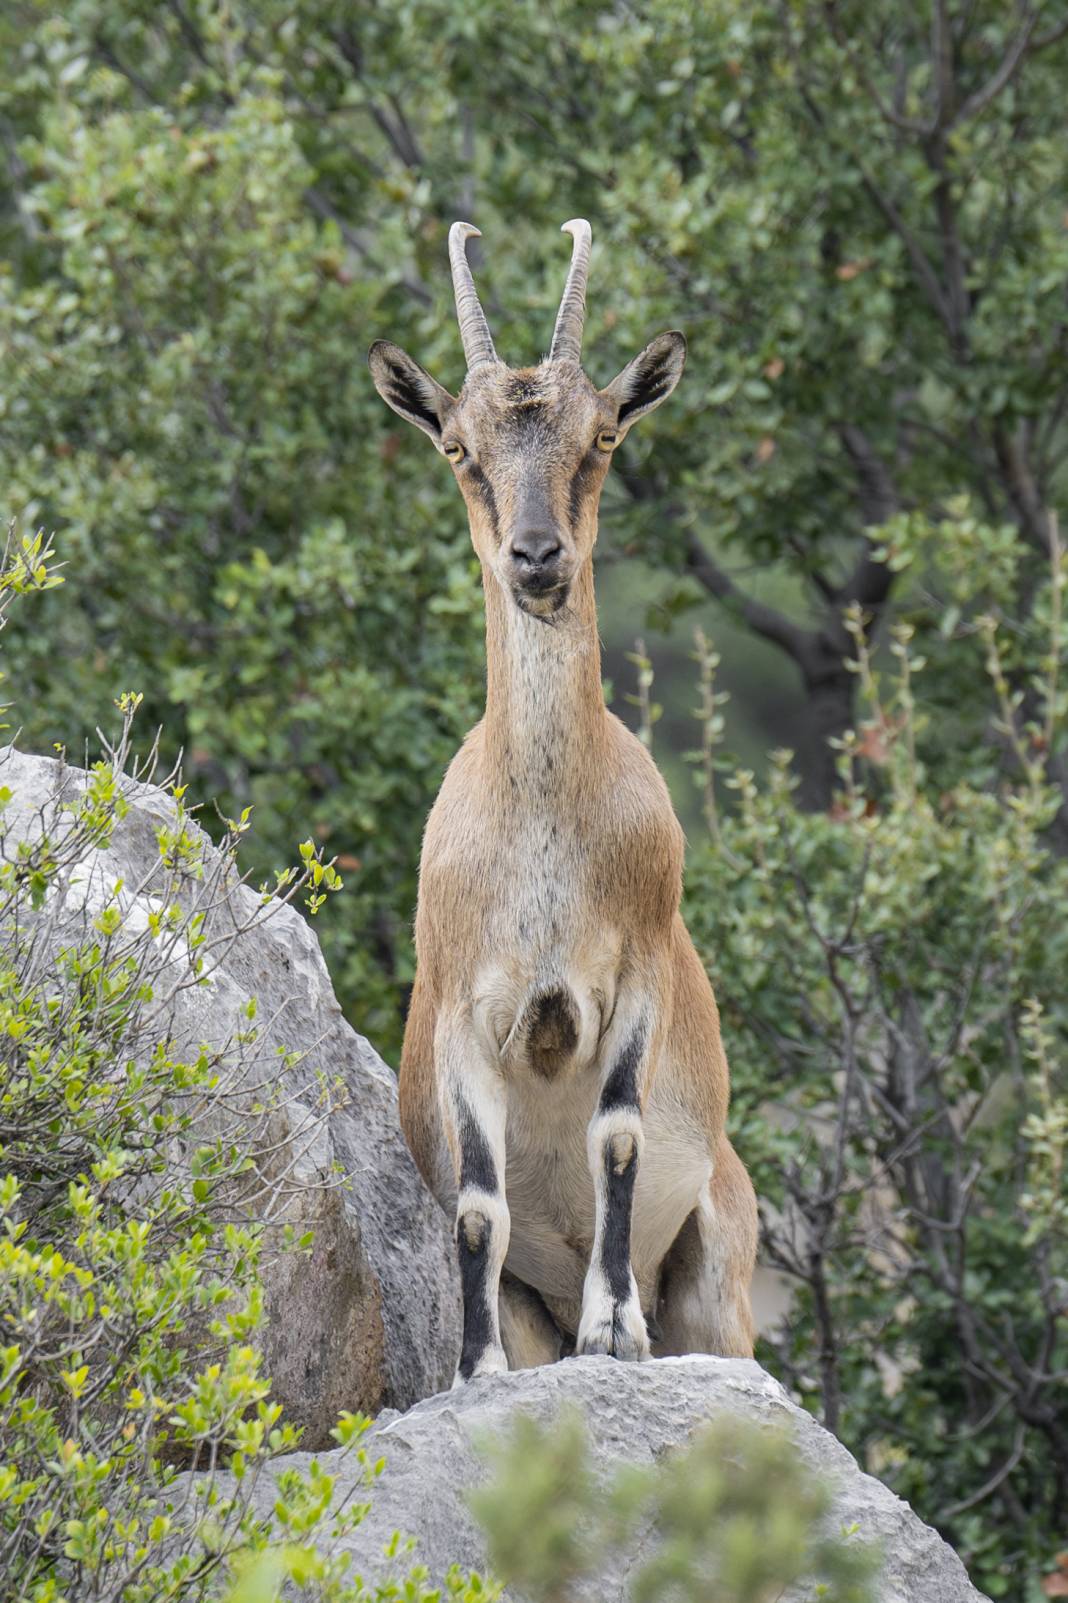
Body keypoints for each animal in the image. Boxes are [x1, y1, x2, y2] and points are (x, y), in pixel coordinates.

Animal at [370, 222, 753, 1378]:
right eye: (459, 447)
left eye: (603, 436)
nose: (537, 559)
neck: (543, 822)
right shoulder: (464, 1012)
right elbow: (480, 1208)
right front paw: (474, 1366)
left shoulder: (632, 978)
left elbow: (614, 1137)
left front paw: (613, 1326)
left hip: (721, 1279)